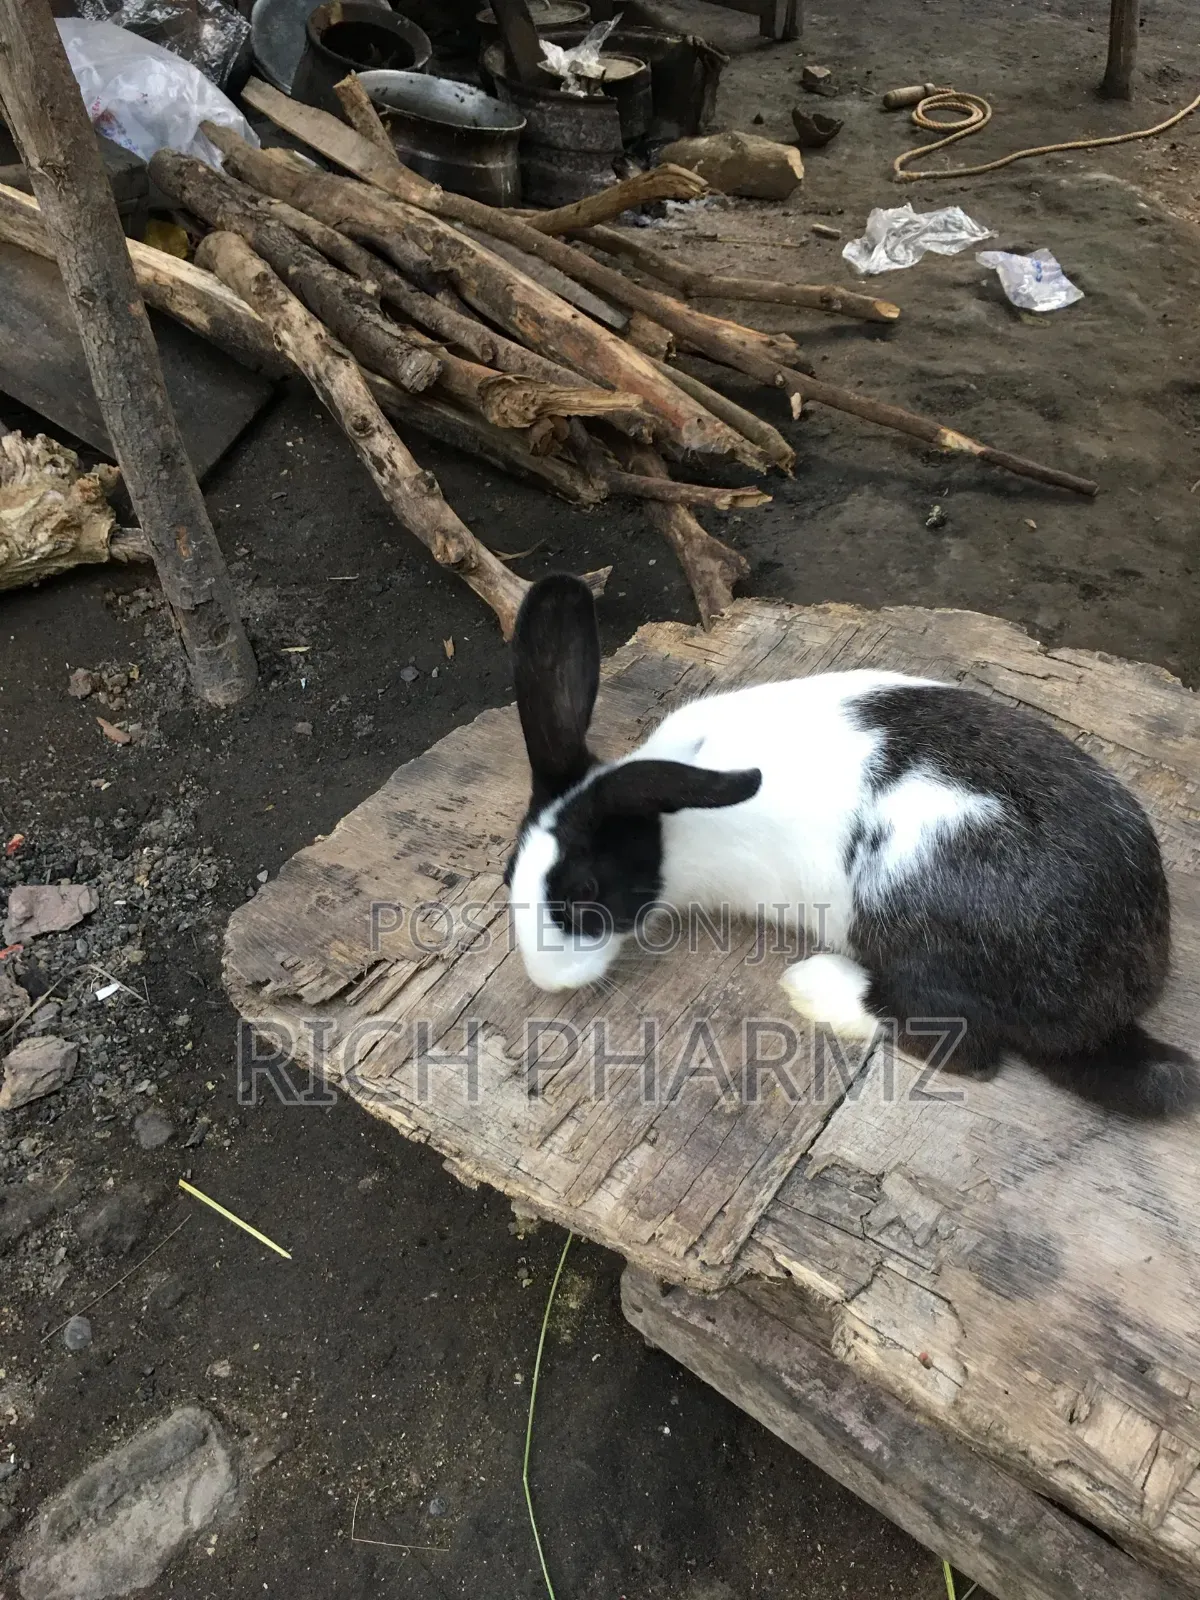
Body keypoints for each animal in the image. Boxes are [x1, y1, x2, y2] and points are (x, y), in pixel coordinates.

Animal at [504, 575, 1196, 1116]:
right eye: (509, 871)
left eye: (585, 891)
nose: (544, 980)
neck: (671, 824)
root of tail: (1103, 1012)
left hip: (901, 912)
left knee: (960, 1042)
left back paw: (815, 986)